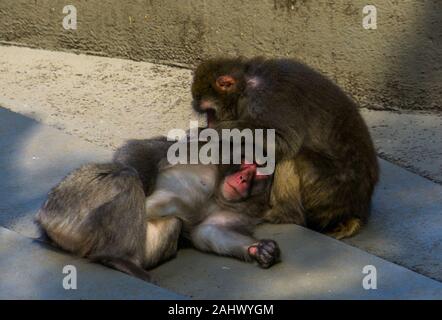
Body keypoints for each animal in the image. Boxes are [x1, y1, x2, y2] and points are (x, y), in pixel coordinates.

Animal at [38, 136, 280, 282]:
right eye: (247, 163)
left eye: (259, 172)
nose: (243, 179)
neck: (217, 192)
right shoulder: (202, 153)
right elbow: (143, 151)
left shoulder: (235, 212)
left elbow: (207, 233)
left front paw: (262, 250)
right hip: (70, 207)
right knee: (125, 175)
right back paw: (117, 258)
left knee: (174, 221)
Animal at [192, 57, 378, 238]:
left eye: (210, 112)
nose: (210, 122)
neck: (245, 85)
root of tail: (354, 210)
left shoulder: (265, 102)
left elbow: (285, 141)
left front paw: (219, 131)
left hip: (326, 191)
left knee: (291, 157)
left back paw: (284, 214)